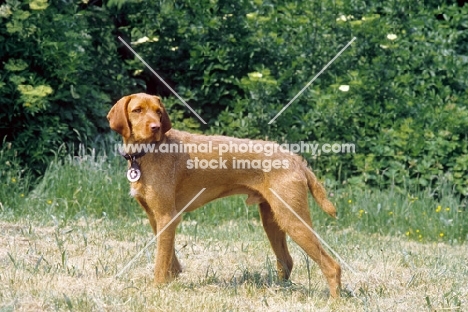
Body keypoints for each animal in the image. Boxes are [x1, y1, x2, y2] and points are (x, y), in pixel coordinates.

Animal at [108, 92, 342, 298]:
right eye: (137, 110)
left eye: (158, 111)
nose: (155, 127)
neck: (147, 153)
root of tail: (295, 159)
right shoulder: (155, 217)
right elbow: (170, 257)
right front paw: (173, 280)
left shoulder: (167, 216)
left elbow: (161, 261)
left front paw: (158, 289)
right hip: (273, 220)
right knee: (287, 261)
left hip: (293, 219)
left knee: (332, 265)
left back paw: (334, 300)